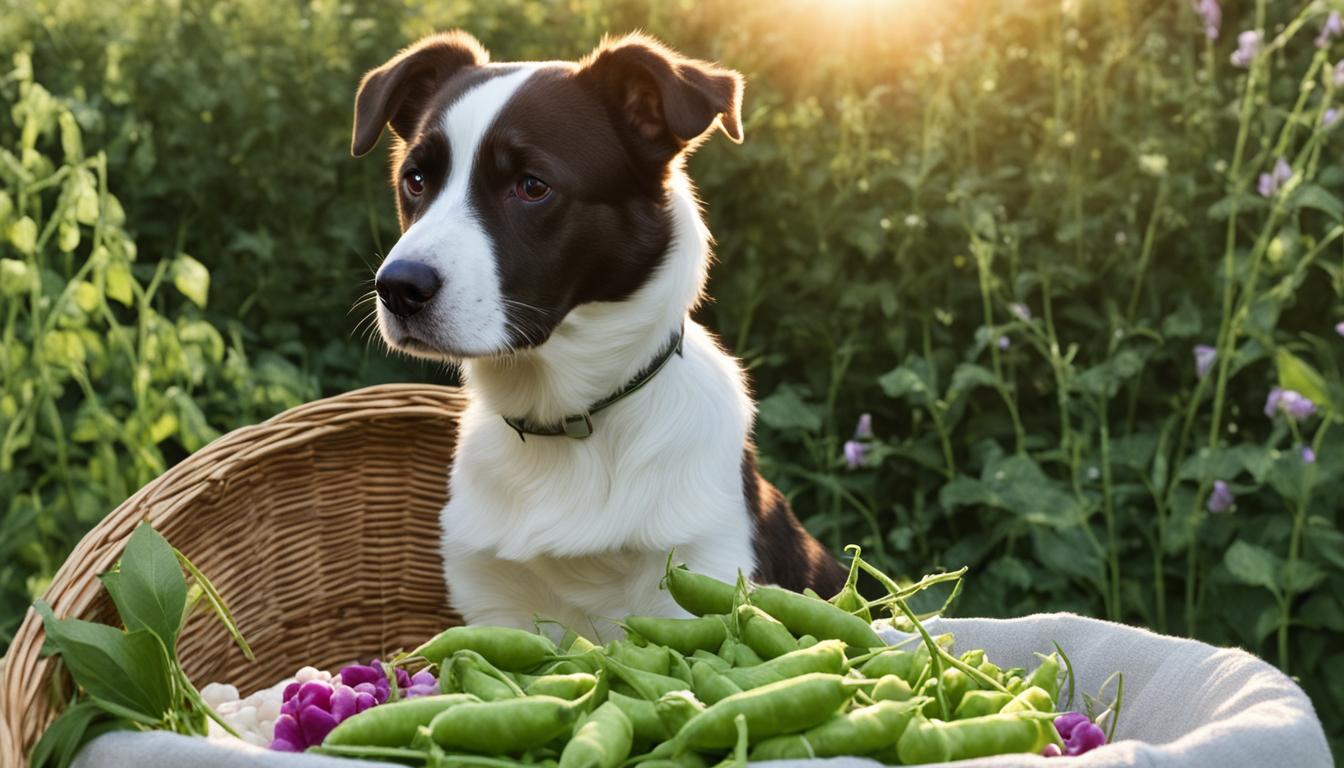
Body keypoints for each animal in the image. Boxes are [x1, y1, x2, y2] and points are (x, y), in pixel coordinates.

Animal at [352, 31, 844, 637]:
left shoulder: (697, 573)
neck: (564, 421)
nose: (397, 288)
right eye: (415, 180)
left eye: (532, 186)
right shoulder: (496, 608)